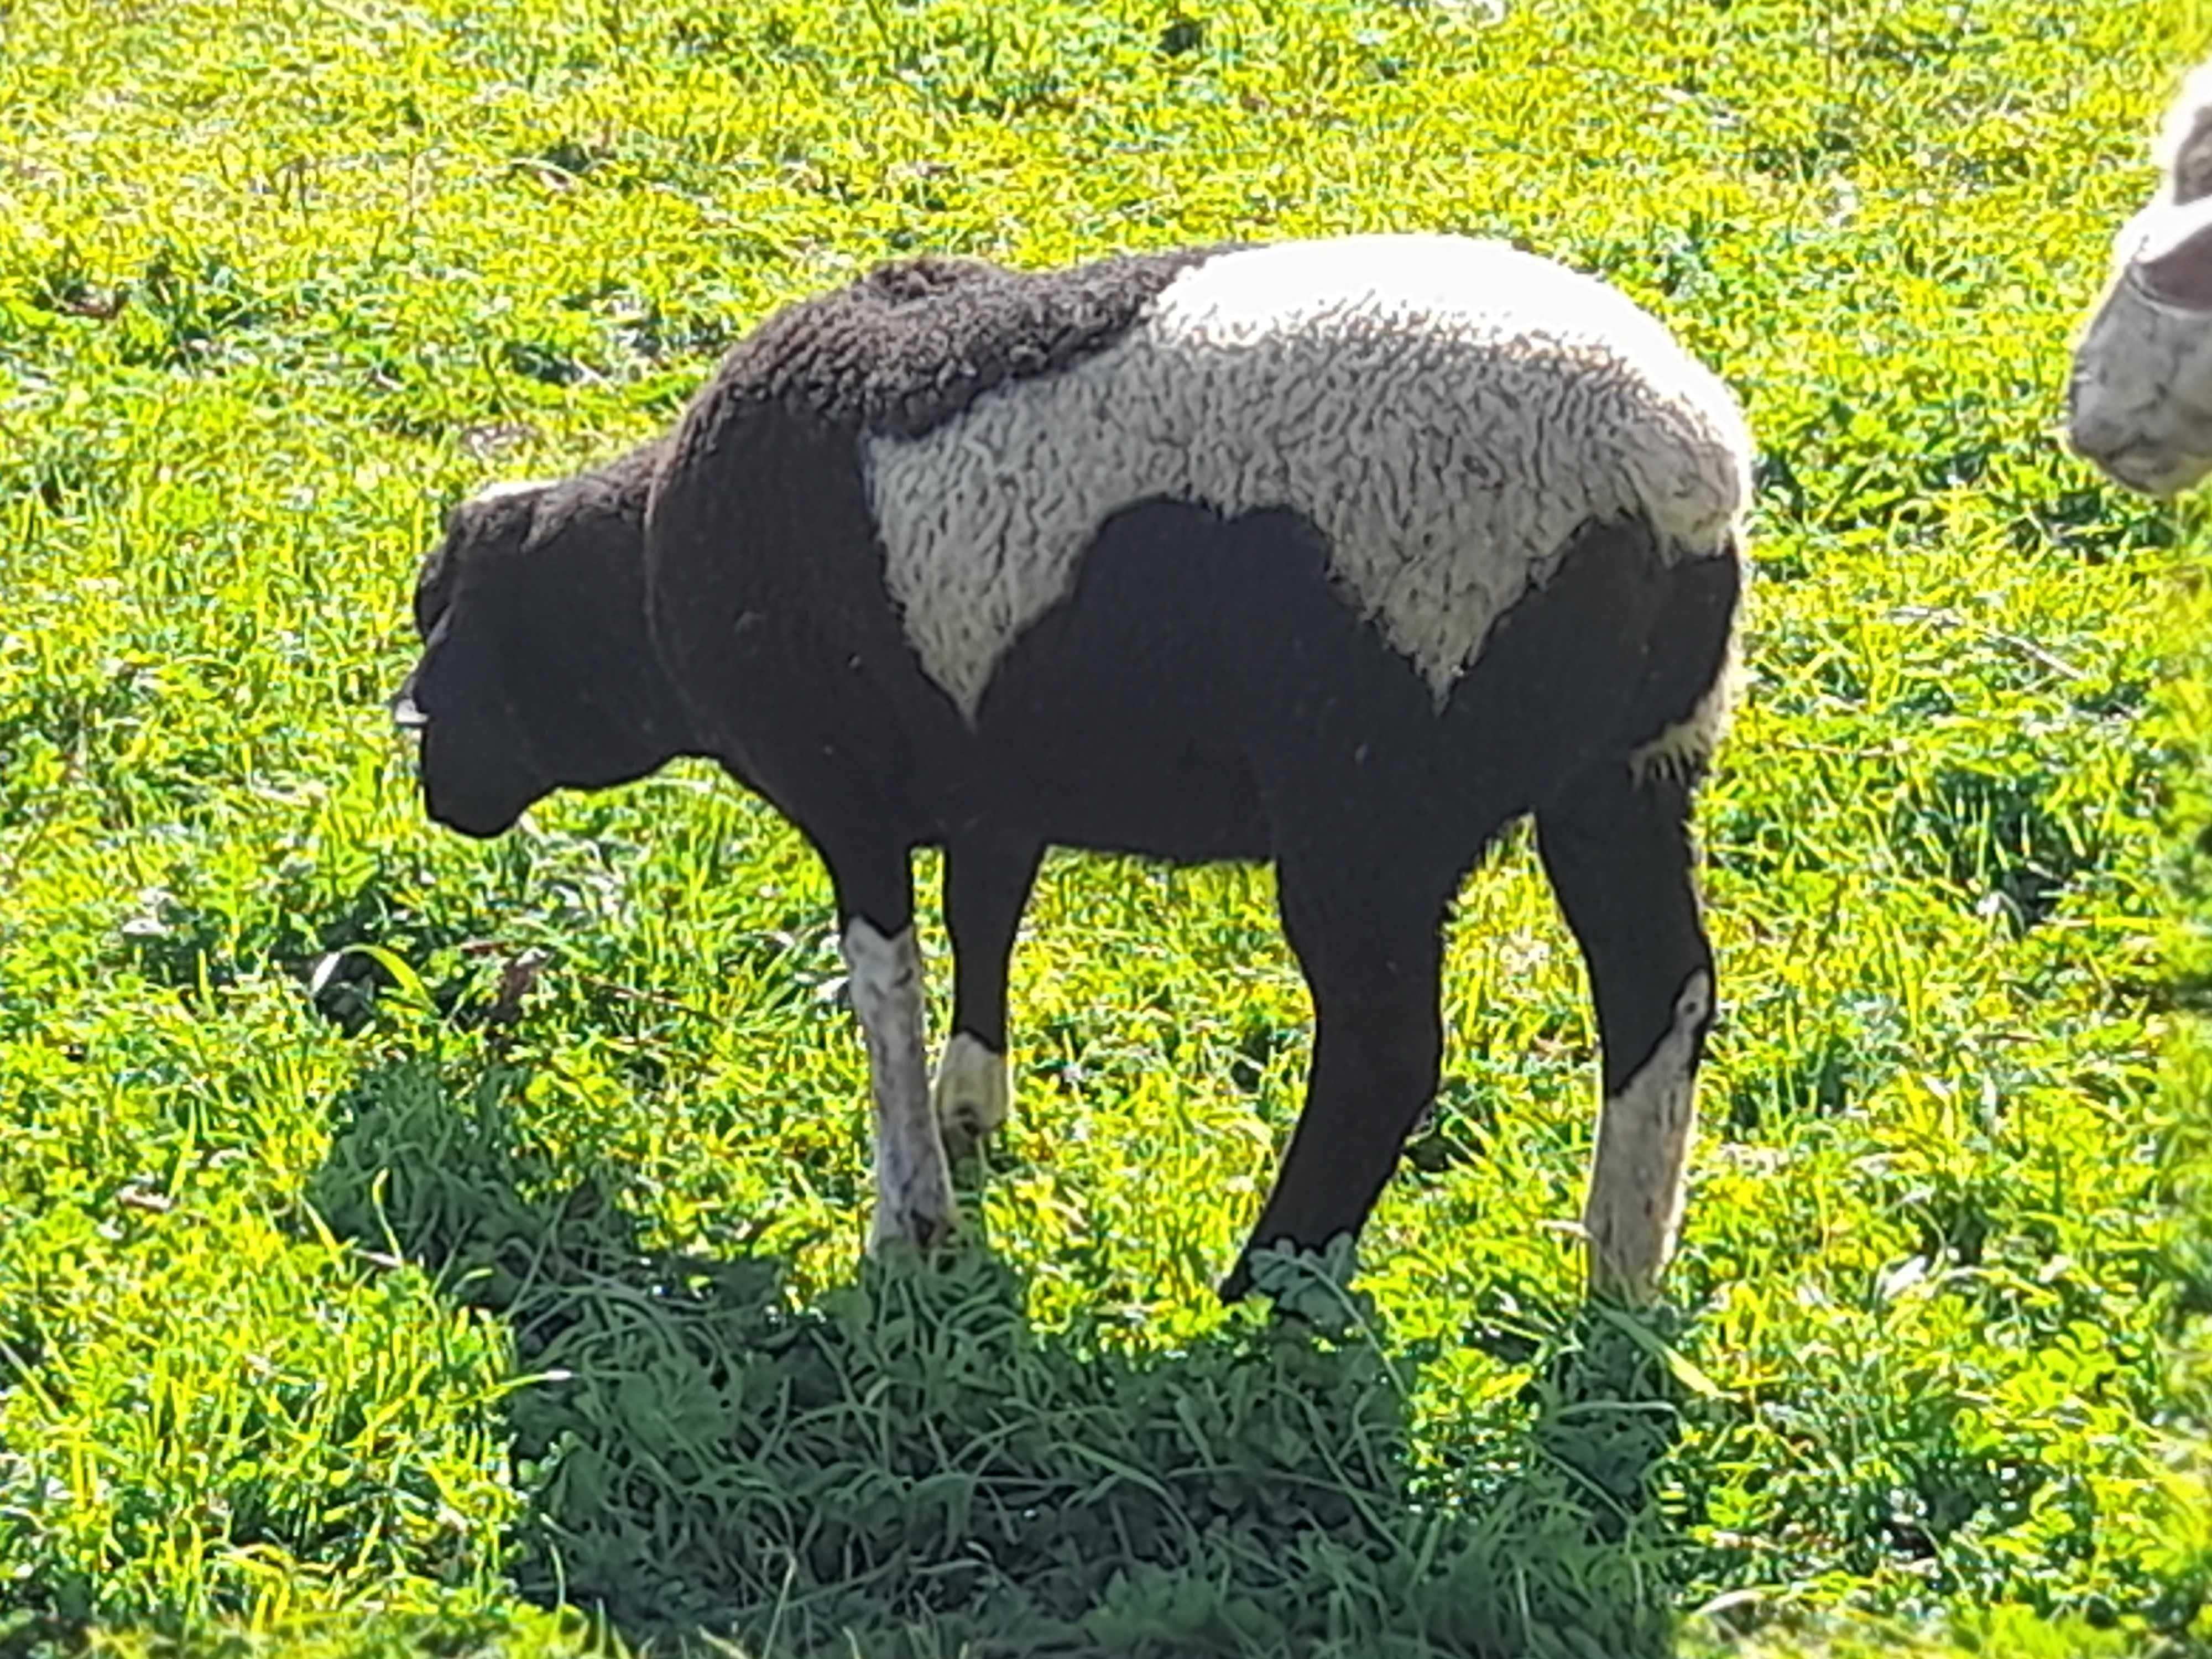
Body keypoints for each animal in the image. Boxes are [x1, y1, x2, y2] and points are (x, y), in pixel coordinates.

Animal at [394, 234, 1743, 1310]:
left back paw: (1269, 1283)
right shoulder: (992, 783)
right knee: (1660, 991)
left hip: (1370, 793)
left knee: (1384, 1050)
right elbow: (982, 920)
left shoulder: (844, 789)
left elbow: (883, 983)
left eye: (449, 630)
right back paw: (1620, 1269)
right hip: (1630, 768)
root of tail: (1676, 473)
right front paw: (970, 1116)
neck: (648, 581)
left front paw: (908, 1222)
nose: (437, 791)